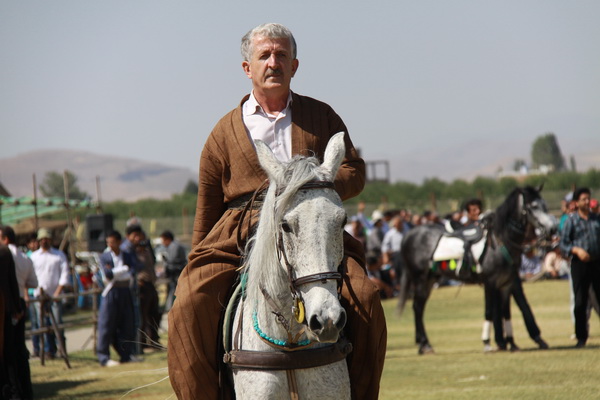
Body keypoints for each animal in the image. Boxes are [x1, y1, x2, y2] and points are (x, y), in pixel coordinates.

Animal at [396, 186, 556, 354]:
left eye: (544, 204)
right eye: (534, 206)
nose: (552, 229)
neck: (500, 241)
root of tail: (409, 235)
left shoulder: (506, 284)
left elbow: (506, 312)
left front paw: (512, 343)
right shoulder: (490, 282)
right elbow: (489, 311)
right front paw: (487, 343)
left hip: (430, 280)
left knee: (419, 308)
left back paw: (423, 344)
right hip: (420, 279)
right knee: (417, 307)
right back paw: (425, 344)